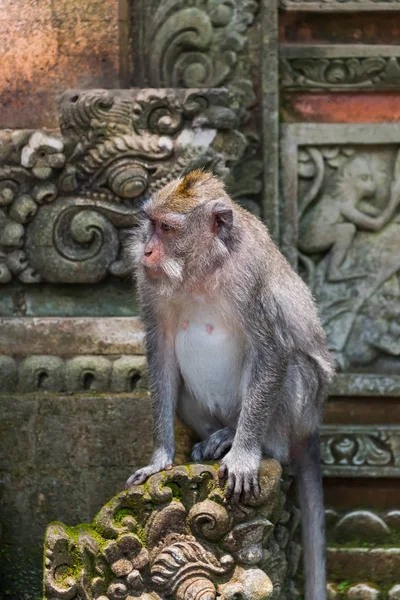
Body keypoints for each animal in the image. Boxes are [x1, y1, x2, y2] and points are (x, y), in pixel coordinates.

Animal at [125, 169, 334, 600]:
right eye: (151, 225)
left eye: (168, 229)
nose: (146, 252)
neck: (204, 269)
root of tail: (313, 427)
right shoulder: (151, 287)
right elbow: (161, 354)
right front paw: (160, 458)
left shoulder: (252, 277)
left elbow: (272, 349)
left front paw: (243, 456)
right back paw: (218, 435)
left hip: (302, 410)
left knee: (291, 367)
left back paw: (246, 441)